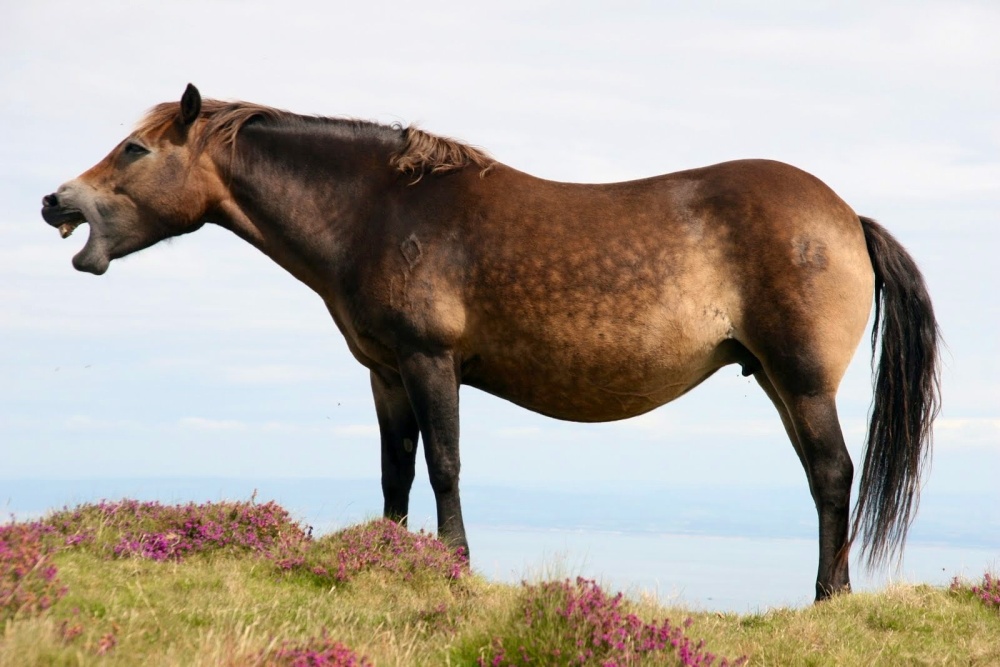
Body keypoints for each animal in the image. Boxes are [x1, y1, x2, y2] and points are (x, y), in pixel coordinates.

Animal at [43, 83, 940, 600]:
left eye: (135, 149)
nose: (57, 200)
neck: (380, 211)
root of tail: (845, 215)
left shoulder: (430, 361)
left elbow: (443, 463)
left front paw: (454, 566)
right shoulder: (385, 373)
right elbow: (395, 471)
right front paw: (392, 561)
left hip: (802, 379)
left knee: (832, 474)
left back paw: (829, 598)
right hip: (777, 381)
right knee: (823, 477)